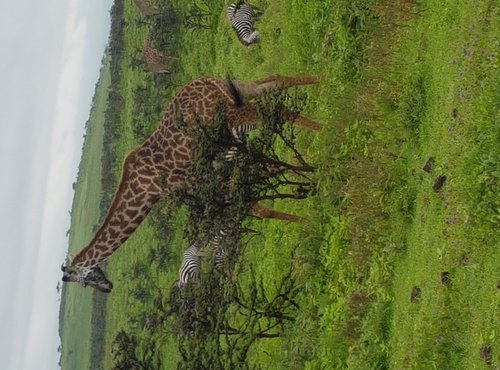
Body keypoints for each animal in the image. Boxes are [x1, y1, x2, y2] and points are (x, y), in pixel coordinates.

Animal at [60, 73, 322, 292]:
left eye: (85, 280)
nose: (107, 287)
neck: (149, 189)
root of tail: (203, 81)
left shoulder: (198, 184)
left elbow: (256, 204)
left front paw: (307, 216)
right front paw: (305, 186)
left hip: (233, 113)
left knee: (275, 110)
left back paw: (324, 132)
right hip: (240, 90)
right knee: (276, 81)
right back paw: (324, 81)